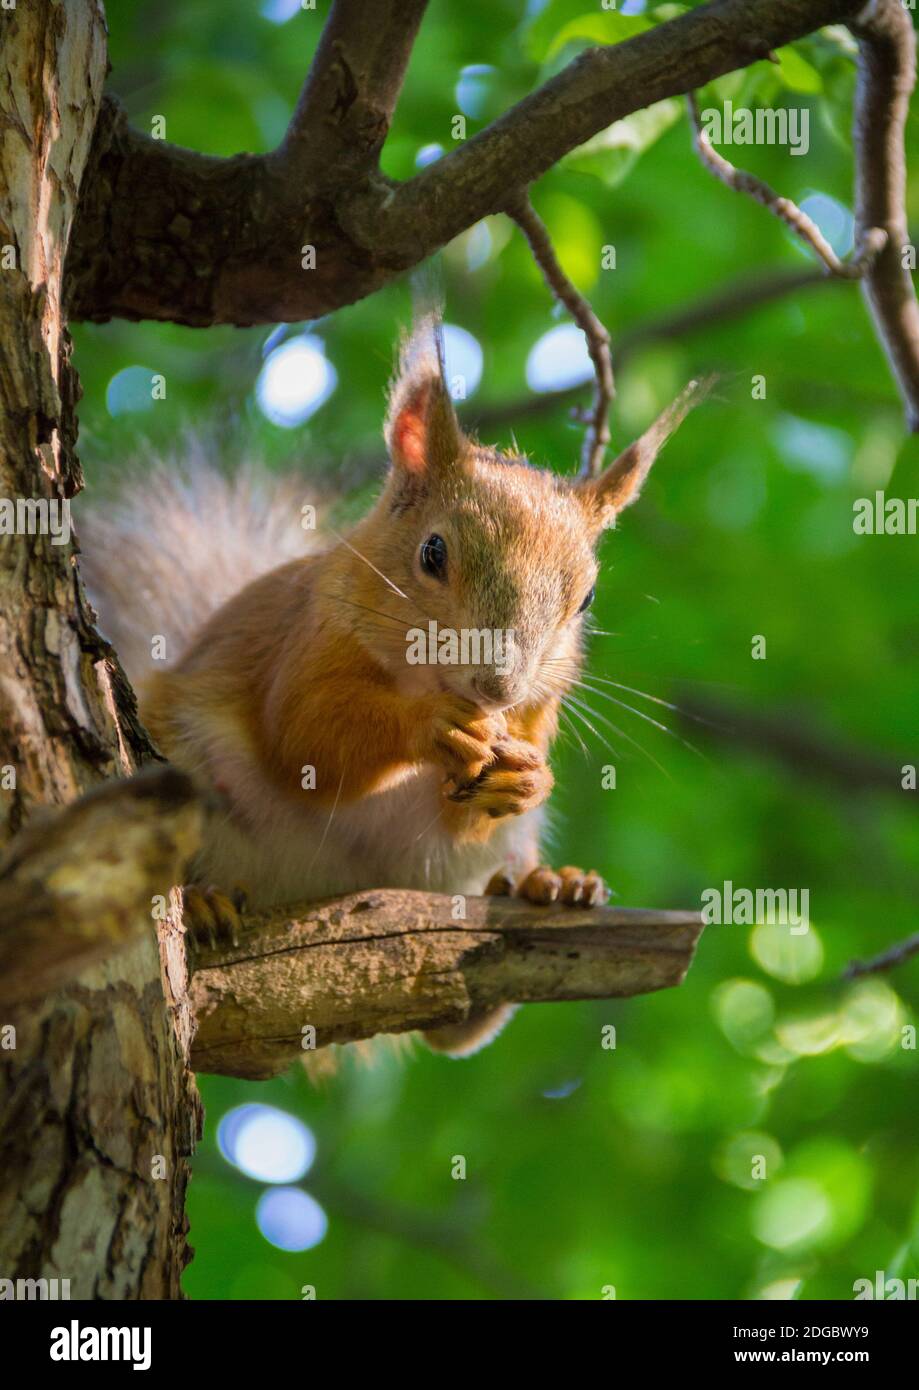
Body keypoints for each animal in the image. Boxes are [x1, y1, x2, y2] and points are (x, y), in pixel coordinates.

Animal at [84, 315, 703, 1050]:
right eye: (432, 553)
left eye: (585, 600)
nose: (496, 686)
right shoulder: (307, 643)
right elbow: (305, 740)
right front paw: (432, 727)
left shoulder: (534, 711)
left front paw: (525, 777)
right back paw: (204, 900)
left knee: (456, 1026)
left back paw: (544, 886)